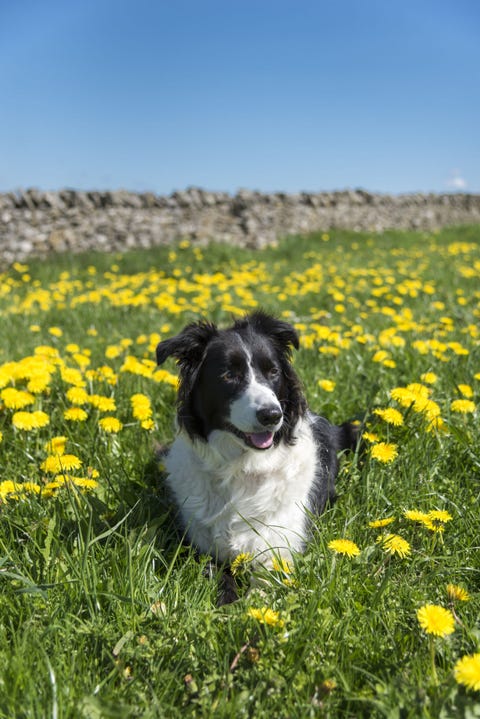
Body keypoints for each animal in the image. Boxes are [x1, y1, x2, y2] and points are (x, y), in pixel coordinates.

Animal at [156, 312, 358, 600]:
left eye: (273, 372)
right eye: (229, 375)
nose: (272, 415)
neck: (242, 466)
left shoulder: (280, 548)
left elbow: (262, 588)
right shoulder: (203, 547)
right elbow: (220, 578)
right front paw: (228, 602)